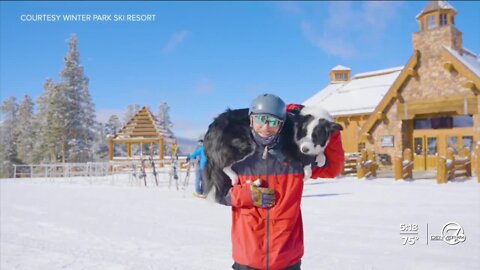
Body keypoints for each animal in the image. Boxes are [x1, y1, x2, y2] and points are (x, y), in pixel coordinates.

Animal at [202, 105, 342, 202]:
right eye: (303, 132)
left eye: (316, 135)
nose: (305, 149)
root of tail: (211, 129)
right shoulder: (291, 146)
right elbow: (306, 163)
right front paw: (307, 173)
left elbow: (321, 155)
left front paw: (320, 158)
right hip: (245, 145)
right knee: (223, 166)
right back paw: (237, 178)